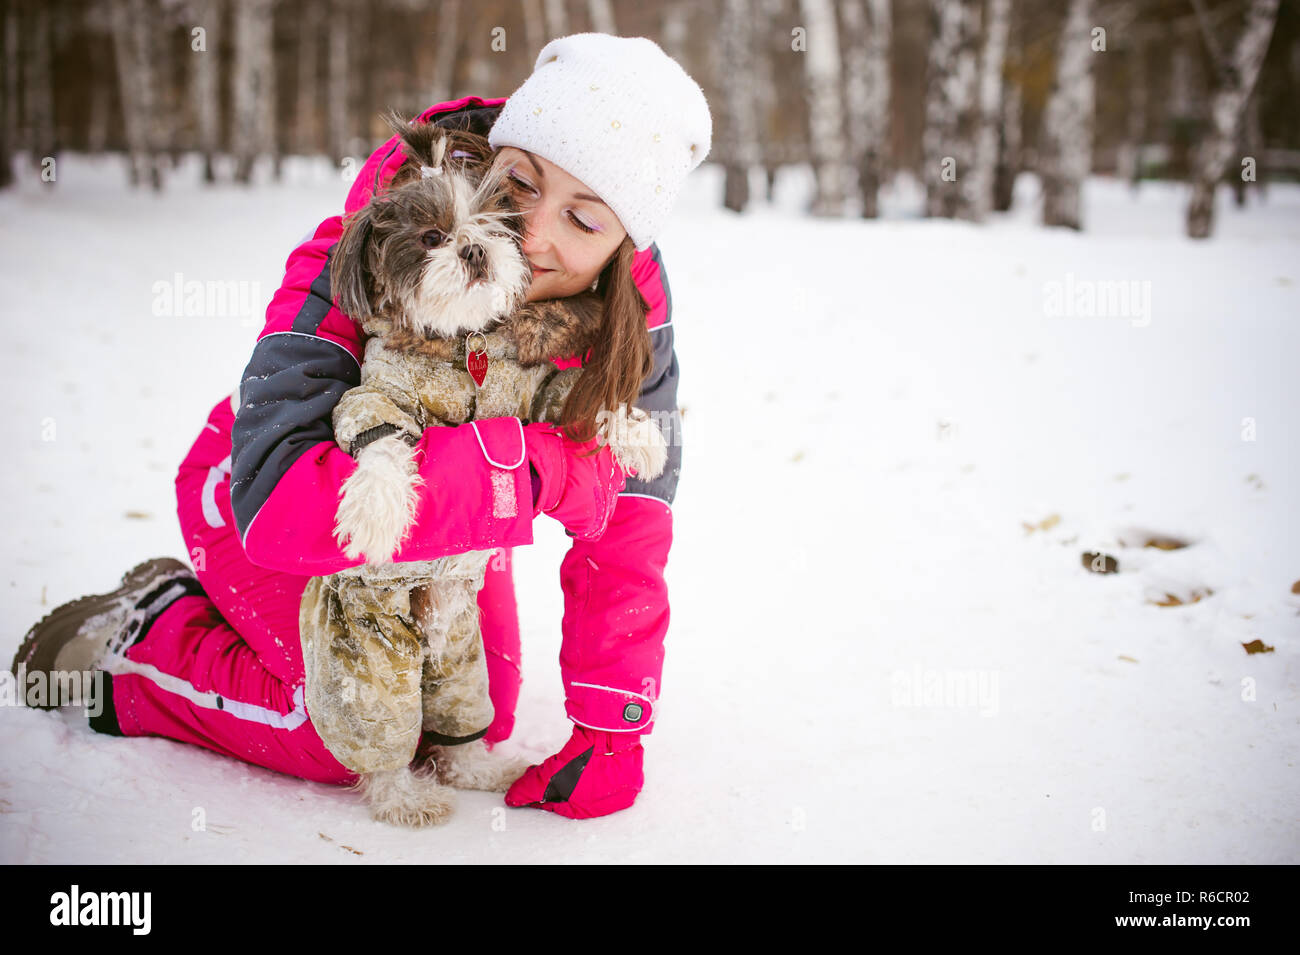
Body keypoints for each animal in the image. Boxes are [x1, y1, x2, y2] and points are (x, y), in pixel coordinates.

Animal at [299, 110, 665, 831]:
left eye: (498, 222)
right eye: (431, 236)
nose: (474, 251)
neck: (463, 343)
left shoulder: (535, 389)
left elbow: (573, 398)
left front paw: (637, 434)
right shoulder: (377, 397)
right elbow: (380, 442)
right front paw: (374, 511)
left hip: (463, 661)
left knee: (454, 729)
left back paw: (482, 767)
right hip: (369, 654)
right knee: (383, 745)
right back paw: (406, 799)